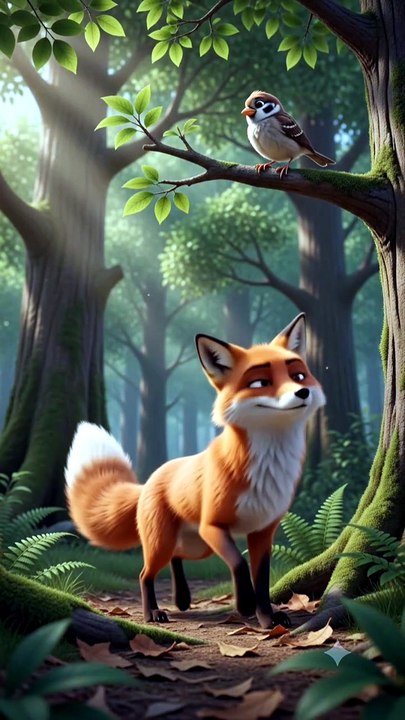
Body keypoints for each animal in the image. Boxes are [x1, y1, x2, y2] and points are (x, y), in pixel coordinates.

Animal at [65, 313, 325, 629]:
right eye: (260, 382)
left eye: (298, 376)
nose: (303, 392)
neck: (266, 467)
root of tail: (149, 480)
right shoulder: (212, 525)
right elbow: (239, 564)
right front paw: (245, 604)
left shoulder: (263, 531)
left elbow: (262, 582)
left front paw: (267, 619)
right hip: (166, 542)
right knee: (145, 574)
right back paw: (153, 613)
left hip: (196, 547)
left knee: (176, 558)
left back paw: (182, 598)